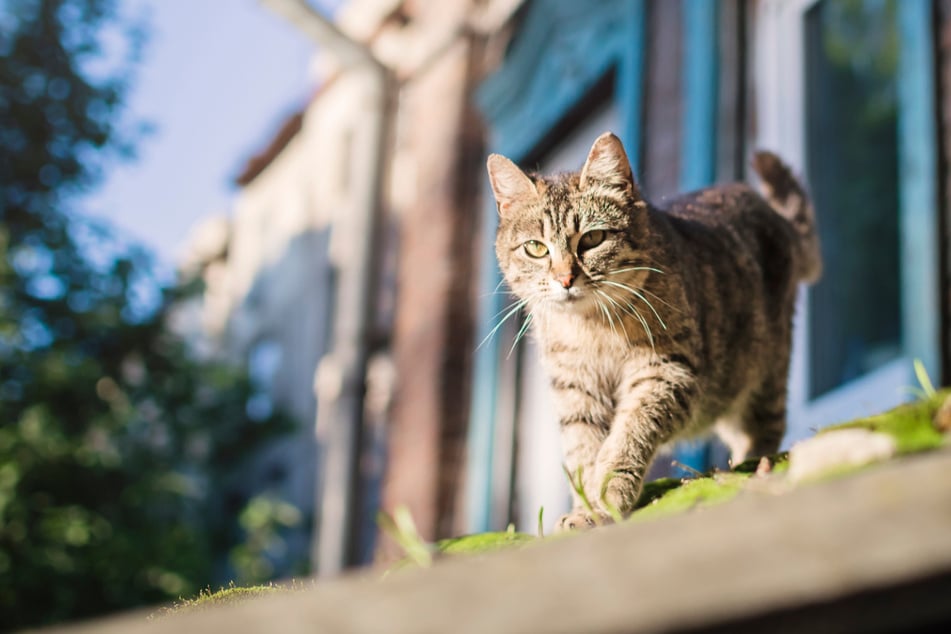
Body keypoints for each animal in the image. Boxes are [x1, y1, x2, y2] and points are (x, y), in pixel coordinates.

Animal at [488, 132, 820, 528]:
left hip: (761, 376)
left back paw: (756, 467)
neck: (592, 329)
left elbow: (628, 434)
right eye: (536, 248)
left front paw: (607, 494)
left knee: (766, 428)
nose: (565, 279)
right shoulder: (576, 390)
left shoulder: (667, 371)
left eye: (592, 239)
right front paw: (586, 509)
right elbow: (583, 451)